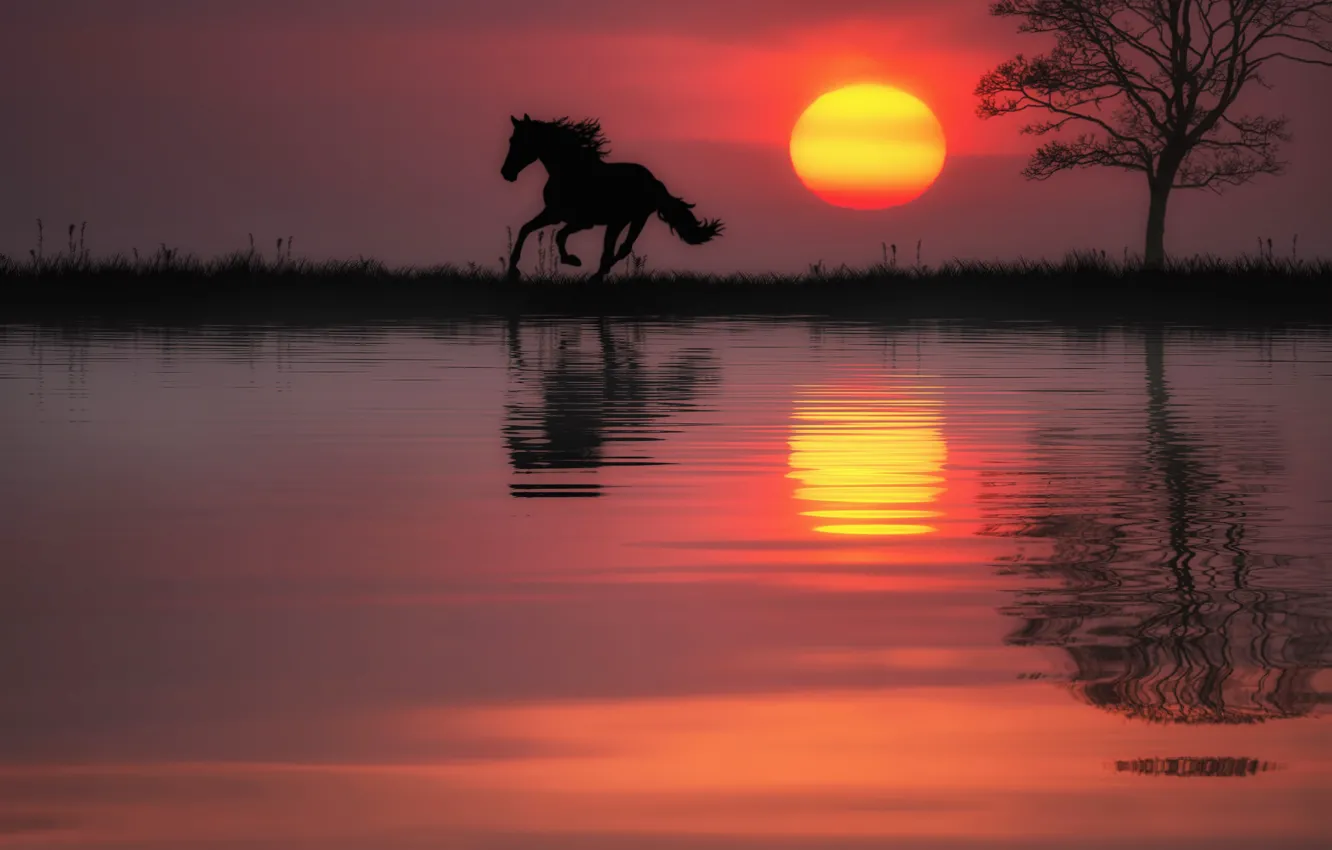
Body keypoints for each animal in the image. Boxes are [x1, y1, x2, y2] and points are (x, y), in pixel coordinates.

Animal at [500, 114, 724, 280]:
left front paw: (572, 260)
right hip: (621, 221)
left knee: (620, 249)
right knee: (615, 249)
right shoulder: (553, 214)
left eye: (518, 141)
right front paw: (513, 270)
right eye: (511, 140)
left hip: (633, 219)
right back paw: (599, 274)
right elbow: (525, 229)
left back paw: (597, 276)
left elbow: (559, 236)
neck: (570, 170)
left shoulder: (580, 221)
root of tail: (653, 181)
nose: (506, 173)